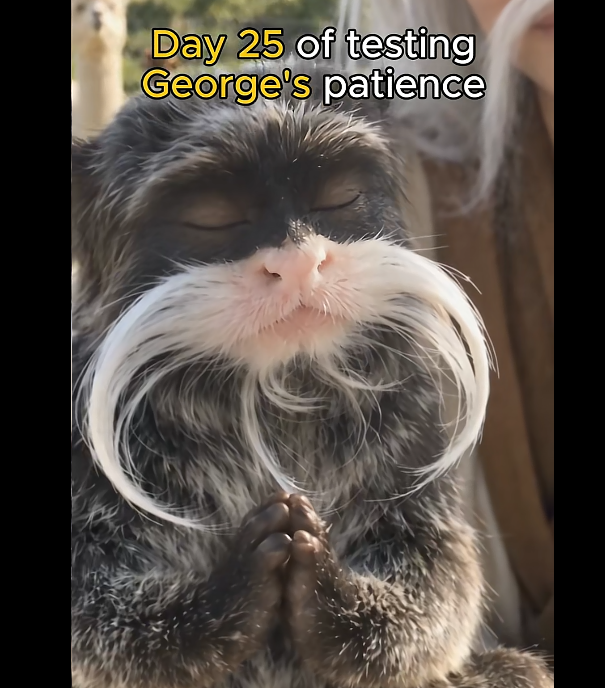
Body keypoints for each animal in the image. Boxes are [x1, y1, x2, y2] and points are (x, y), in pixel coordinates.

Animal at [71, 59, 554, 688]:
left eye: (339, 199)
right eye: (212, 219)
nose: (299, 263)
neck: (270, 397)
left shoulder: (413, 432)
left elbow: (438, 583)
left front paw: (326, 593)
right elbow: (96, 622)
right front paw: (230, 595)